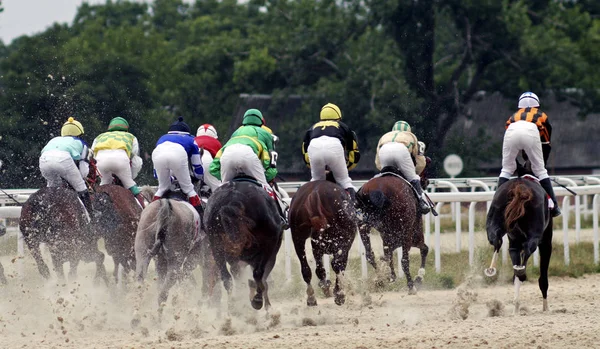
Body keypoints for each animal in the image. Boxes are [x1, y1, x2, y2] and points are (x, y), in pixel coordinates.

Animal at [204, 178, 284, 308]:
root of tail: (232, 199)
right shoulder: (271, 250)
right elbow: (262, 277)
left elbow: (237, 273)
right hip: (268, 245)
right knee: (258, 274)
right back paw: (257, 300)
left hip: (216, 246)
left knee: (226, 277)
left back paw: (233, 305)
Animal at [482, 177, 552, 312]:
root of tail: (518, 188)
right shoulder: (546, 241)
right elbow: (543, 277)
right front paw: (545, 307)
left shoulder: (513, 241)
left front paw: (516, 305)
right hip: (535, 233)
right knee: (529, 248)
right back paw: (522, 272)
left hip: (494, 218)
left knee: (496, 240)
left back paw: (493, 268)